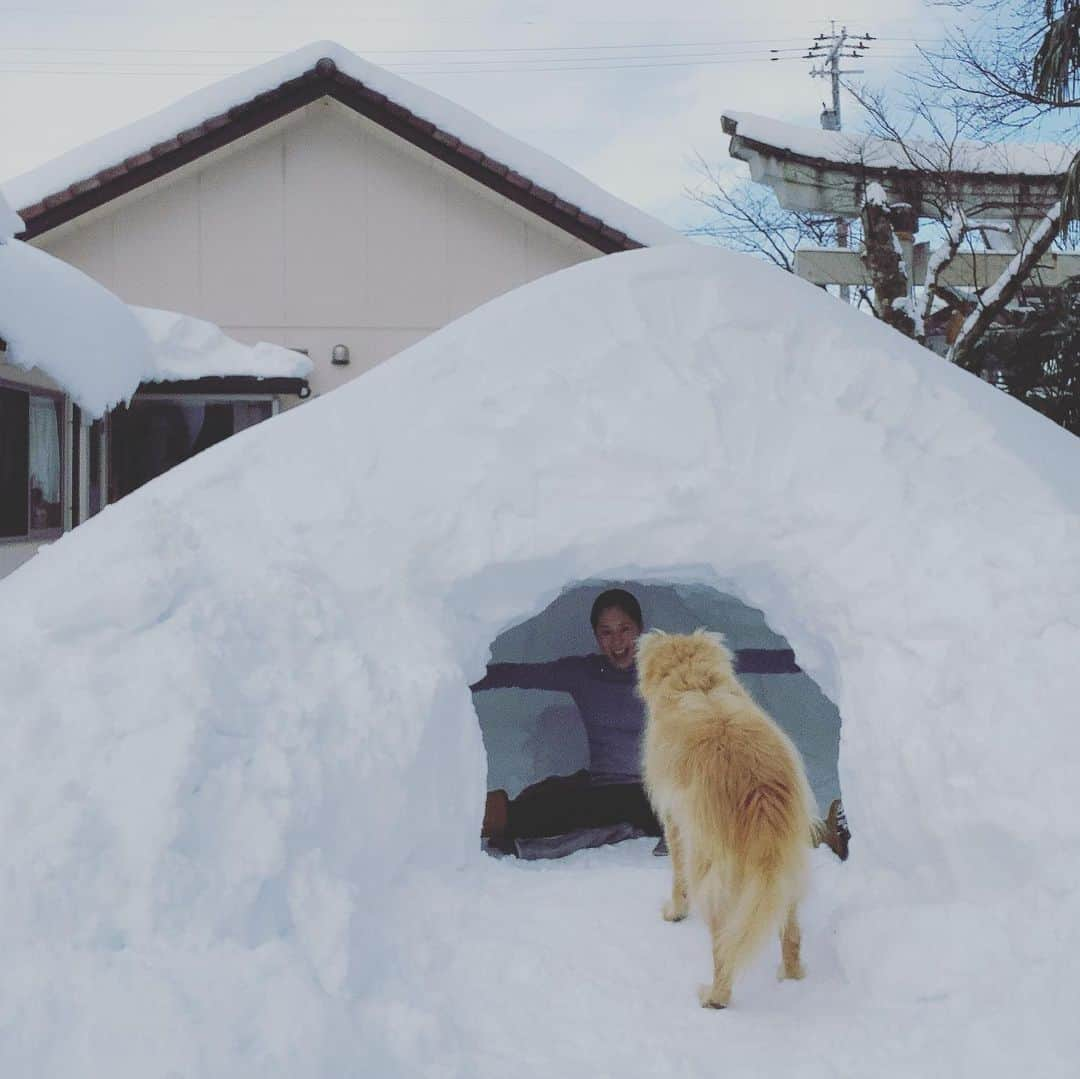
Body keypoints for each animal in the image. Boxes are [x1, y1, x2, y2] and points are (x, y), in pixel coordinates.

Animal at [635, 630, 812, 1006]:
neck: (695, 682)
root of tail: (757, 784)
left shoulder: (674, 821)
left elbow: (677, 876)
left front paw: (675, 913)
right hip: (787, 864)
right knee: (790, 933)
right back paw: (791, 976)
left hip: (711, 870)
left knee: (724, 945)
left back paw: (715, 997)